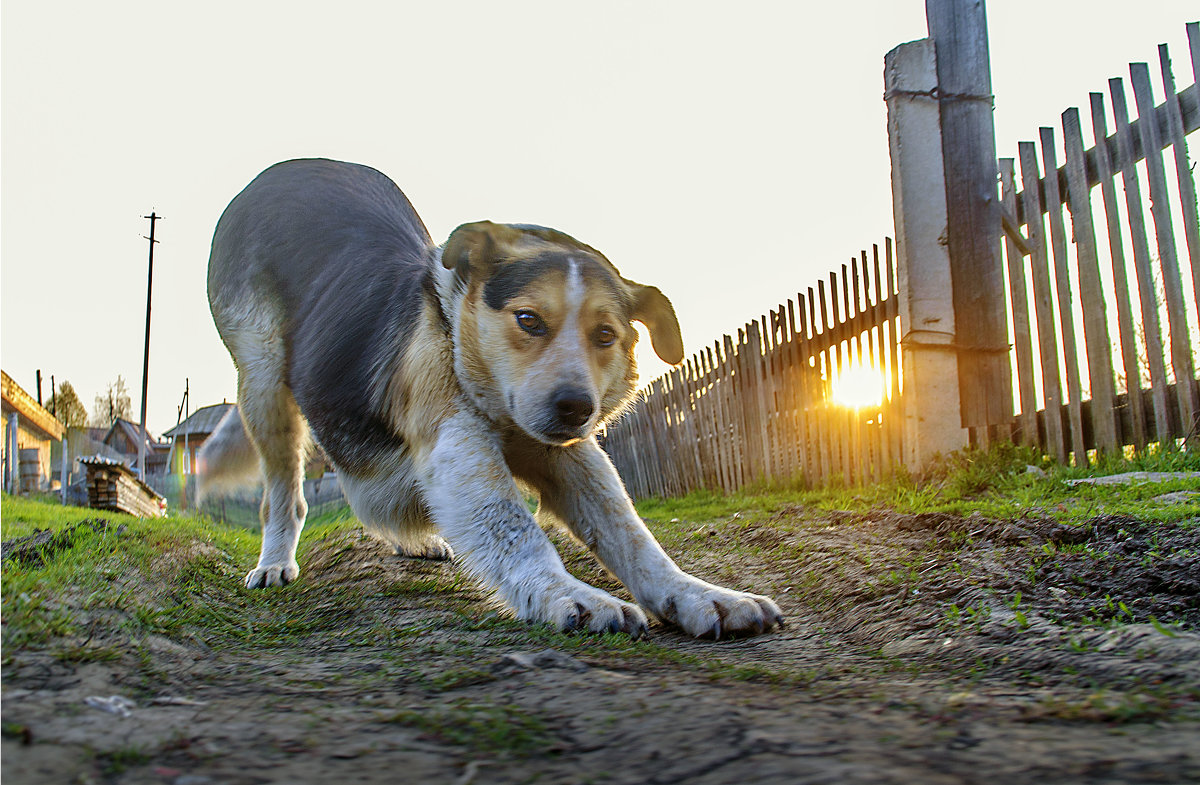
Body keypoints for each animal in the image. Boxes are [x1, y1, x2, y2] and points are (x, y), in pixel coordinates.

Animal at [201, 158, 782, 638]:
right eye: (528, 319)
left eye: (605, 336)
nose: (577, 408)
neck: (457, 334)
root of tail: (282, 169)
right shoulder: (455, 447)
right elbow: (516, 529)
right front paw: (569, 595)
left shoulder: (568, 455)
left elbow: (632, 535)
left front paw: (695, 594)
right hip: (263, 381)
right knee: (285, 490)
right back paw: (275, 560)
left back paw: (411, 540)